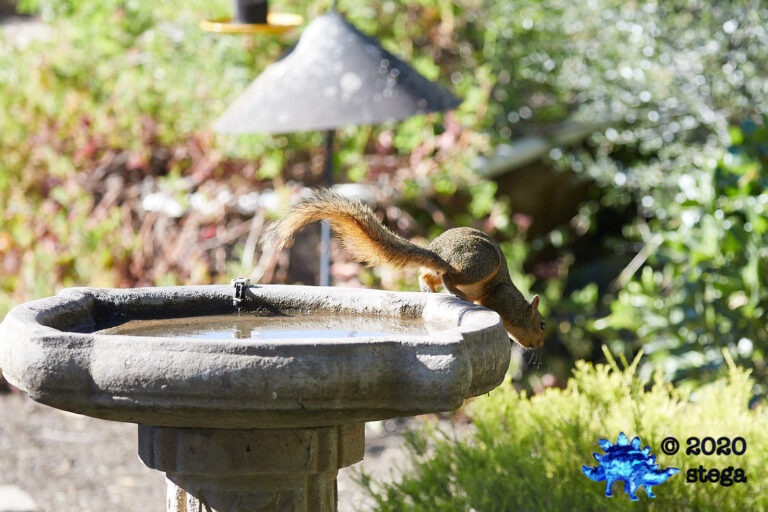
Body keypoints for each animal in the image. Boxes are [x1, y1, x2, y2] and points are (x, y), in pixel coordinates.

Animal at [266, 189, 545, 348]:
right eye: (542, 324)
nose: (539, 346)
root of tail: (439, 252)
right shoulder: (502, 296)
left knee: (428, 275)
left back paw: (428, 290)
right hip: (481, 263)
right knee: (449, 276)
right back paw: (456, 292)